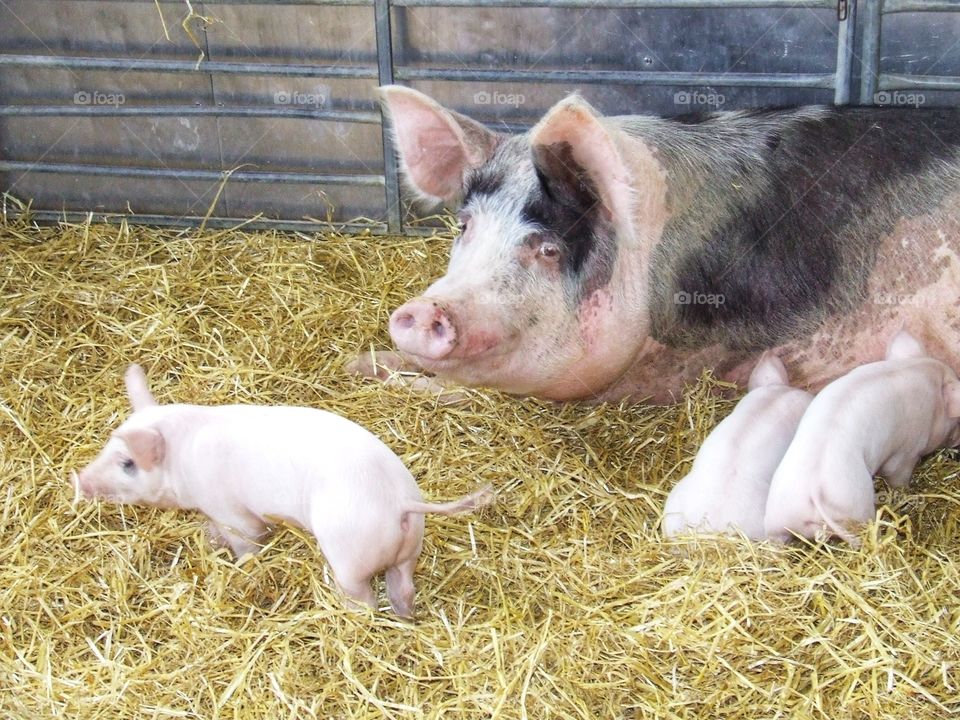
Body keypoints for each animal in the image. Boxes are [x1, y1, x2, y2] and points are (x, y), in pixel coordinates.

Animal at [75, 364, 494, 618]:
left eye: (128, 463)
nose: (79, 479)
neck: (183, 457)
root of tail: (399, 501)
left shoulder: (232, 510)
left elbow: (248, 540)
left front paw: (239, 566)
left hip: (349, 554)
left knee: (364, 598)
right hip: (409, 549)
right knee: (403, 587)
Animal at [763, 331, 960, 545]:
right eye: (955, 420)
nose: (957, 442)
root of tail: (815, 491)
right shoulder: (906, 451)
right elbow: (898, 476)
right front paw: (907, 491)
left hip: (778, 519)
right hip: (857, 505)